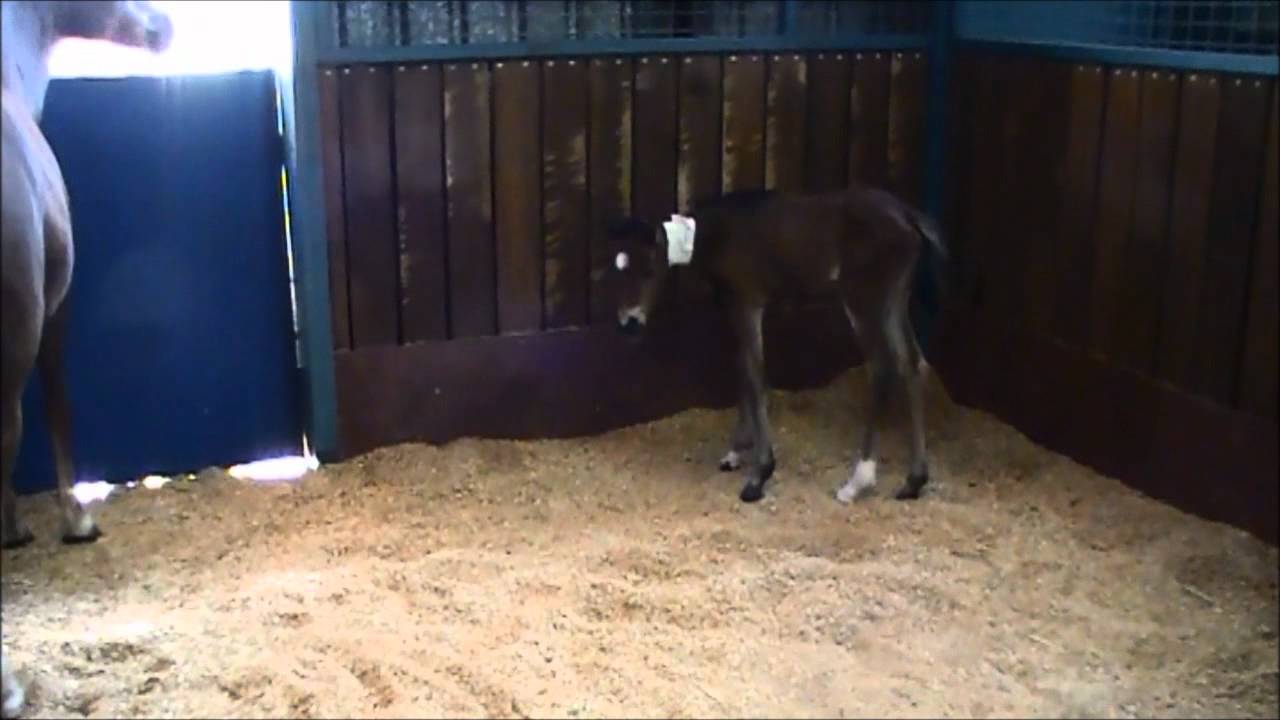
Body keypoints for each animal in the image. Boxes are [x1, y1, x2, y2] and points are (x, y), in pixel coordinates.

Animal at [606, 187, 945, 504]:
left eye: (649, 270)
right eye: (614, 271)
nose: (630, 324)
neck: (718, 234)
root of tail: (908, 216)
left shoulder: (746, 302)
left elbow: (756, 375)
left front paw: (759, 475)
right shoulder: (733, 306)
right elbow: (742, 367)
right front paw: (735, 453)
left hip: (864, 299)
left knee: (882, 368)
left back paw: (857, 481)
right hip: (894, 300)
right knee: (912, 364)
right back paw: (914, 480)